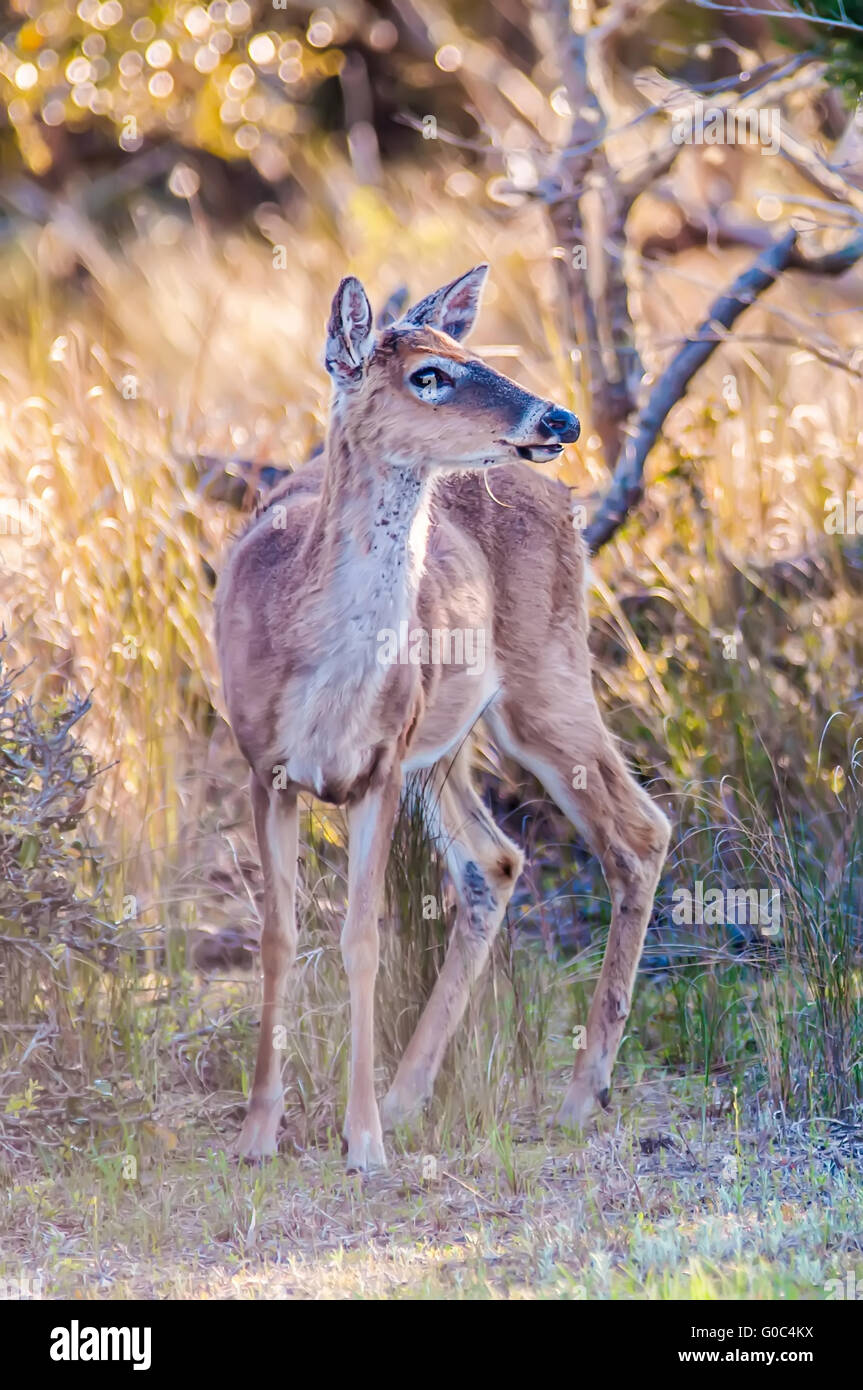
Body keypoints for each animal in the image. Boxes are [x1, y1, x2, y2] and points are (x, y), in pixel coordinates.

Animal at [212, 262, 669, 1173]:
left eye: (471, 354)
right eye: (429, 375)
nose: (557, 419)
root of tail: (561, 498)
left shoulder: (380, 765)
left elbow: (362, 939)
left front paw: (360, 1143)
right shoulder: (264, 765)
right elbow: (278, 937)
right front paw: (256, 1135)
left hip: (544, 679)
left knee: (637, 832)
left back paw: (580, 1094)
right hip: (449, 744)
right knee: (495, 860)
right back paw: (409, 1094)